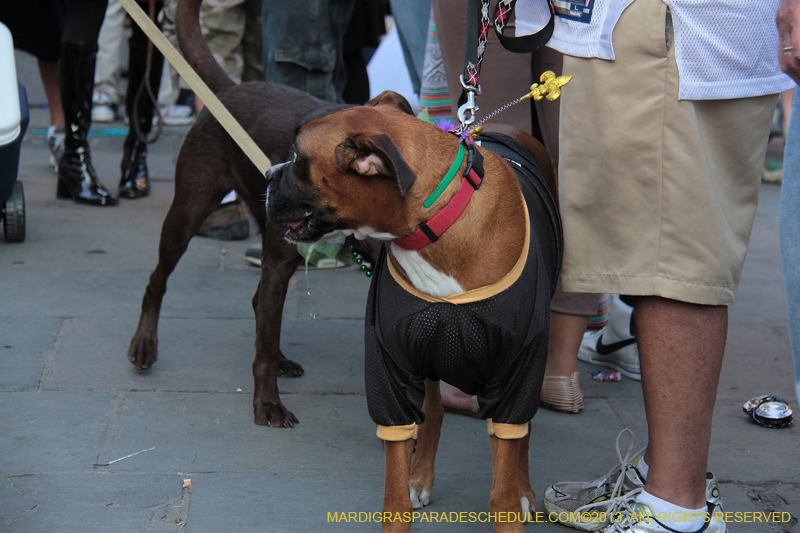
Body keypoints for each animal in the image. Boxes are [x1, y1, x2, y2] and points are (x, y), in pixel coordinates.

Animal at [125, 0, 376, 428]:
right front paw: (268, 406)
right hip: (188, 211)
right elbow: (261, 351)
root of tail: (230, 87)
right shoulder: (277, 262)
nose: (274, 176)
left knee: (261, 309)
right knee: (157, 280)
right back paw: (144, 344)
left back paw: (281, 358)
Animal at [268, 92, 564, 532]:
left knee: (521, 432)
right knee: (435, 411)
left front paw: (515, 500)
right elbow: (395, 488)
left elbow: (505, 477)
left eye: (295, 157)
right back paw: (420, 476)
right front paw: (404, 493)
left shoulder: (518, 367)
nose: (269, 173)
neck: (436, 224)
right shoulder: (393, 369)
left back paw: (525, 488)